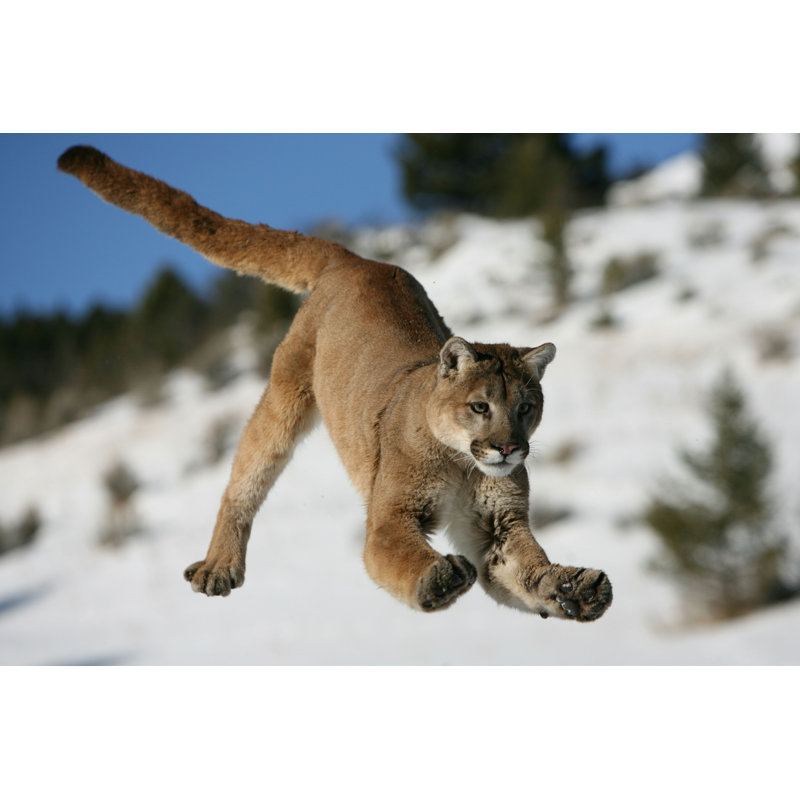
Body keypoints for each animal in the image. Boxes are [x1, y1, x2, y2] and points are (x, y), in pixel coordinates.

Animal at [58, 145, 612, 621]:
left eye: (525, 408)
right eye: (480, 407)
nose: (508, 449)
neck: (461, 462)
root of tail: (357, 259)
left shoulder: (497, 527)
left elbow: (523, 572)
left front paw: (573, 587)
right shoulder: (391, 516)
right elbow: (397, 554)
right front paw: (437, 577)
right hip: (284, 399)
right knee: (244, 478)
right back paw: (219, 566)